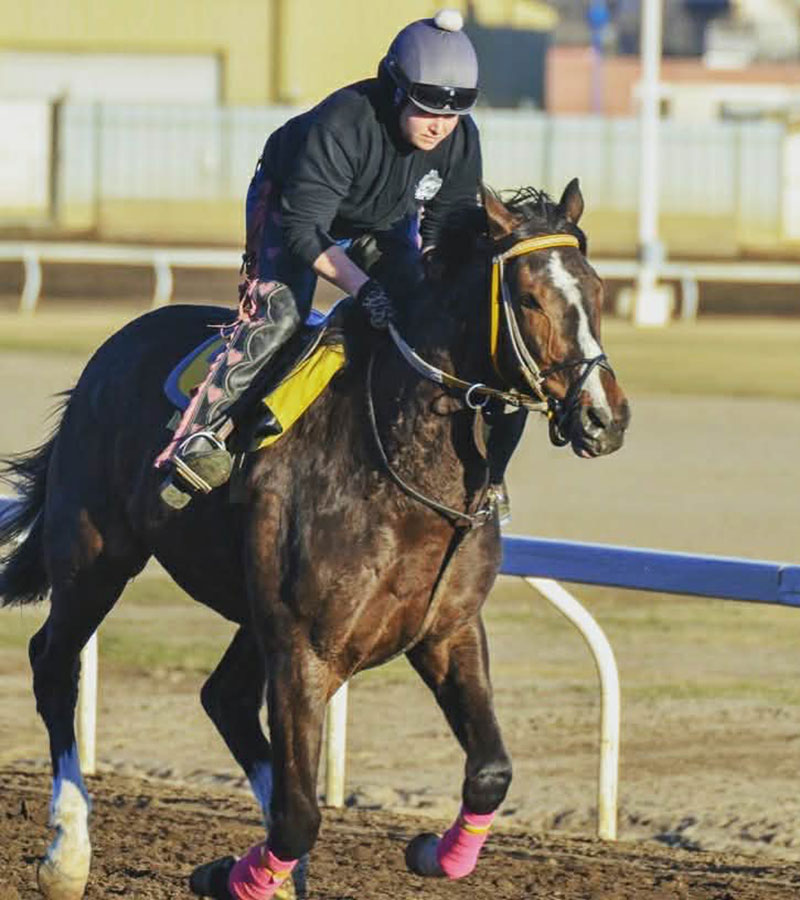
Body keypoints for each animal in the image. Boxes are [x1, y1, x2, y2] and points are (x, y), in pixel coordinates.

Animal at [0, 179, 629, 900]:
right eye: (528, 297)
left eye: (597, 288)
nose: (605, 417)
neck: (403, 467)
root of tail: (107, 356)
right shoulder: (305, 649)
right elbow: (299, 814)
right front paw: (235, 873)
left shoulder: (447, 630)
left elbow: (491, 771)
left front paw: (431, 852)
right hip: (95, 553)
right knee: (55, 664)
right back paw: (68, 853)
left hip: (248, 608)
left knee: (224, 698)